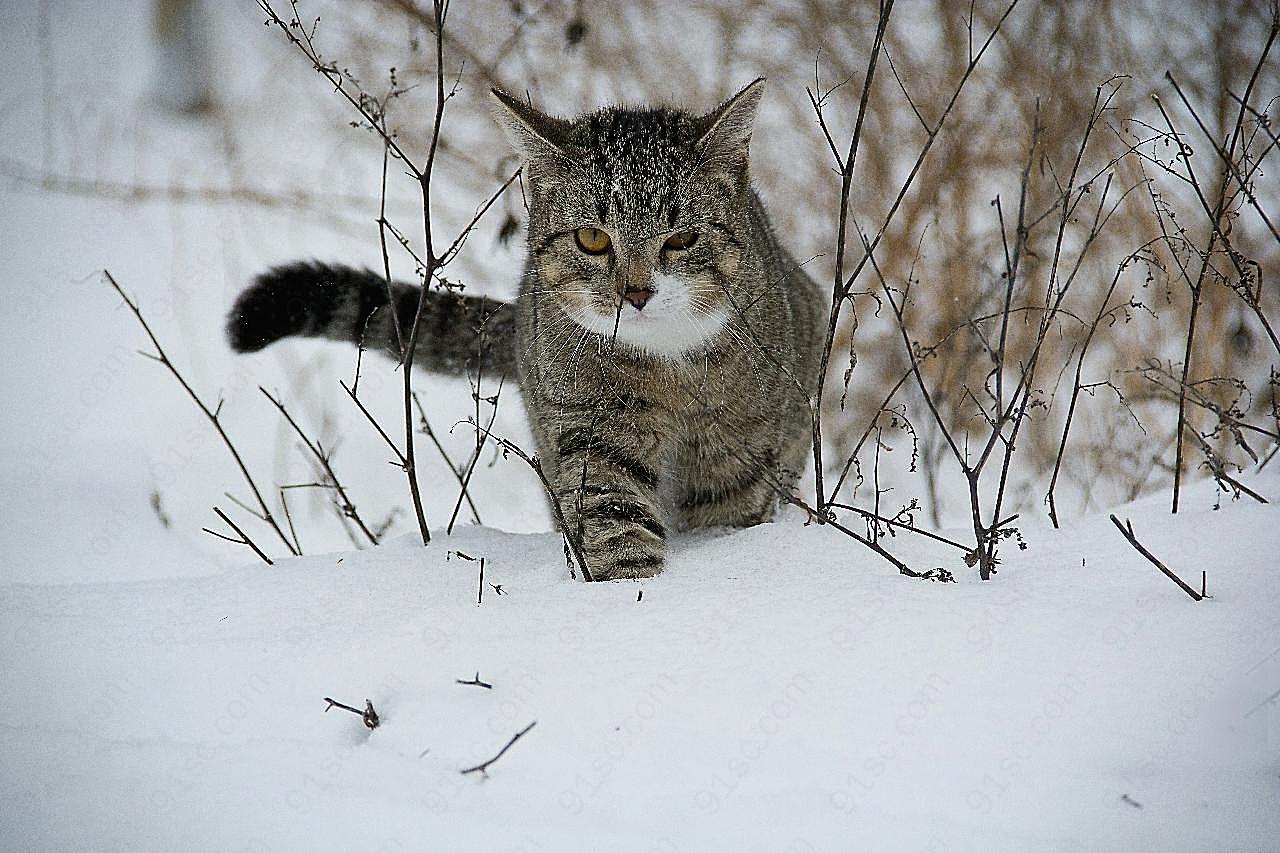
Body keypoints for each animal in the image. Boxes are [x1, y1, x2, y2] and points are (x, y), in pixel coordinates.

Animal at [227, 79, 829, 578]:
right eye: (592, 238)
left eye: (682, 238)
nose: (635, 293)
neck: (667, 370)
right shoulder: (587, 430)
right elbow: (613, 519)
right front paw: (630, 590)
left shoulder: (741, 449)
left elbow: (729, 514)